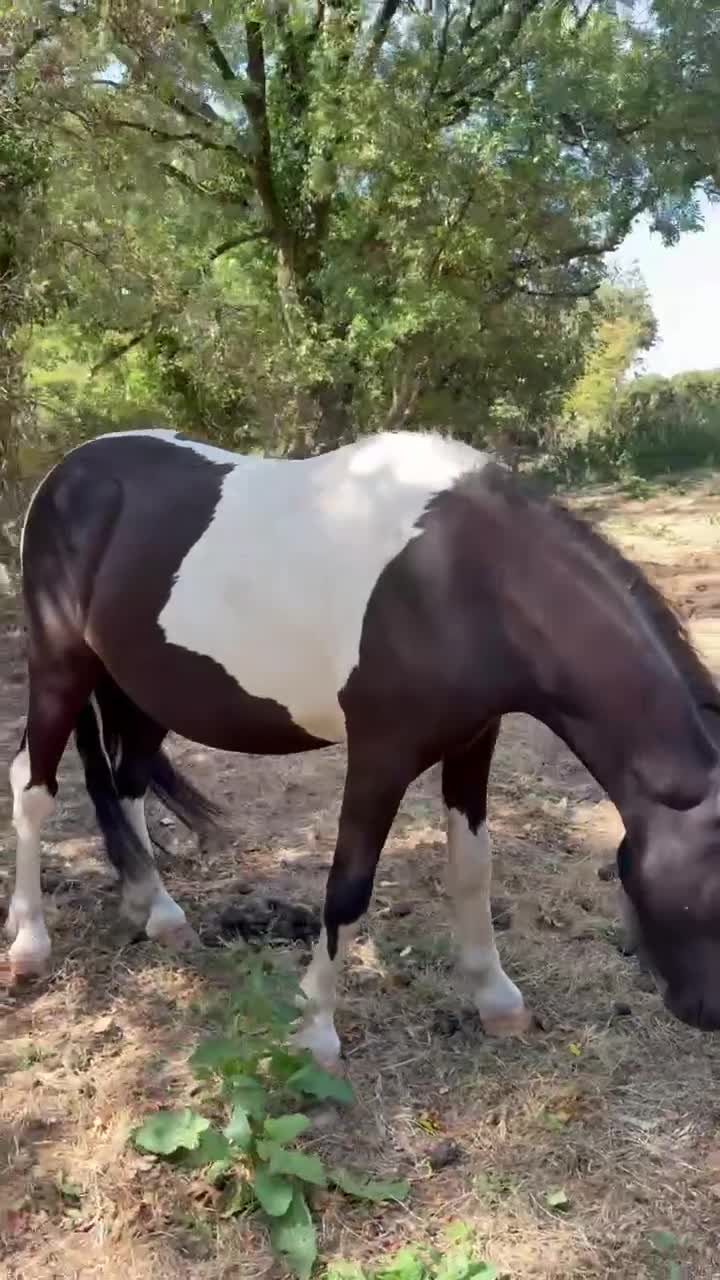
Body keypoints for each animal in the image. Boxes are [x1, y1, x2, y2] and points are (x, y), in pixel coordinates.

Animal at [6, 427, 720, 1066]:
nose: (704, 1013)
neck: (466, 580)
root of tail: (67, 475)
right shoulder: (381, 755)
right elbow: (348, 887)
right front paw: (316, 1030)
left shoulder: (473, 741)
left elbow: (472, 870)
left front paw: (496, 999)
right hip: (60, 665)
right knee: (34, 788)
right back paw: (30, 943)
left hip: (147, 691)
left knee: (125, 783)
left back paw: (156, 910)